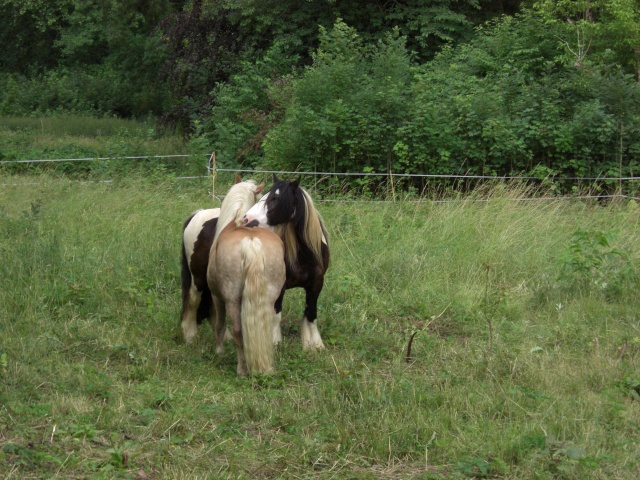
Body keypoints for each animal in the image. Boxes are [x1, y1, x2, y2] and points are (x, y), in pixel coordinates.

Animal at [208, 179, 284, 376]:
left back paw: (242, 369)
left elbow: (220, 324)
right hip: (269, 299)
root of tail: (251, 243)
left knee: (237, 331)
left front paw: (218, 351)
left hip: (232, 301)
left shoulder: (217, 297)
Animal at [241, 174, 330, 350]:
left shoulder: (316, 284)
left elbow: (311, 313)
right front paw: (275, 341)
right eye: (265, 194)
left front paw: (315, 344)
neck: (305, 254)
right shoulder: (280, 285)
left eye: (275, 198)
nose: (246, 219)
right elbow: (276, 313)